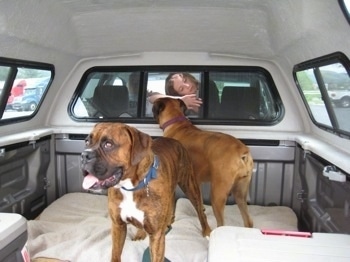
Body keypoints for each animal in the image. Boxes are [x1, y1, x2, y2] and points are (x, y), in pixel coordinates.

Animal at [80, 123, 211, 262]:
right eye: (87, 141)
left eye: (108, 144)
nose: (84, 155)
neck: (131, 187)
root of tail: (174, 141)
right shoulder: (118, 226)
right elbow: (115, 254)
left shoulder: (156, 237)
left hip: (190, 186)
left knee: (200, 211)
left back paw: (207, 231)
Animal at [152, 97, 253, 228]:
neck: (176, 123)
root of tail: (242, 151)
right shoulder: (196, 181)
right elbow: (199, 200)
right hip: (240, 193)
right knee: (248, 221)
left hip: (217, 195)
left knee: (221, 224)